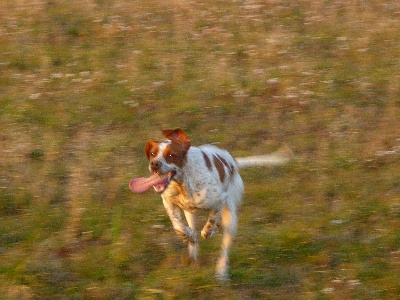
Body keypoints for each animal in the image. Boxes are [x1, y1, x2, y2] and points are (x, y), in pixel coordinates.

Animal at [130, 129, 292, 282]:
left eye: (171, 155)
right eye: (153, 153)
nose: (154, 164)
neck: (183, 182)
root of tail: (233, 162)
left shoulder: (220, 200)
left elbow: (210, 224)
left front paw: (207, 231)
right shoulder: (168, 202)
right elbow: (179, 225)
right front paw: (186, 236)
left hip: (230, 218)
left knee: (224, 247)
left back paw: (221, 271)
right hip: (191, 214)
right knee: (194, 235)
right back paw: (192, 253)